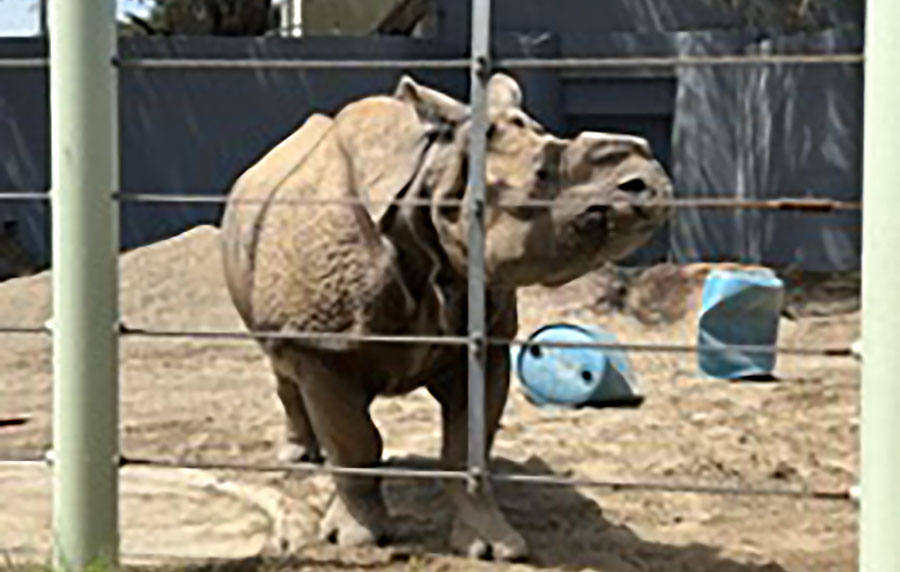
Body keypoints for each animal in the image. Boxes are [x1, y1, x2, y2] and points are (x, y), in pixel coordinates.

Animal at [220, 73, 673, 561]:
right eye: (541, 174)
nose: (647, 182)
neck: (432, 176)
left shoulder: (487, 337)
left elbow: (468, 443)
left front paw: (495, 546)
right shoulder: (324, 345)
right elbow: (355, 442)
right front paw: (359, 539)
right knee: (281, 363)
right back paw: (301, 458)